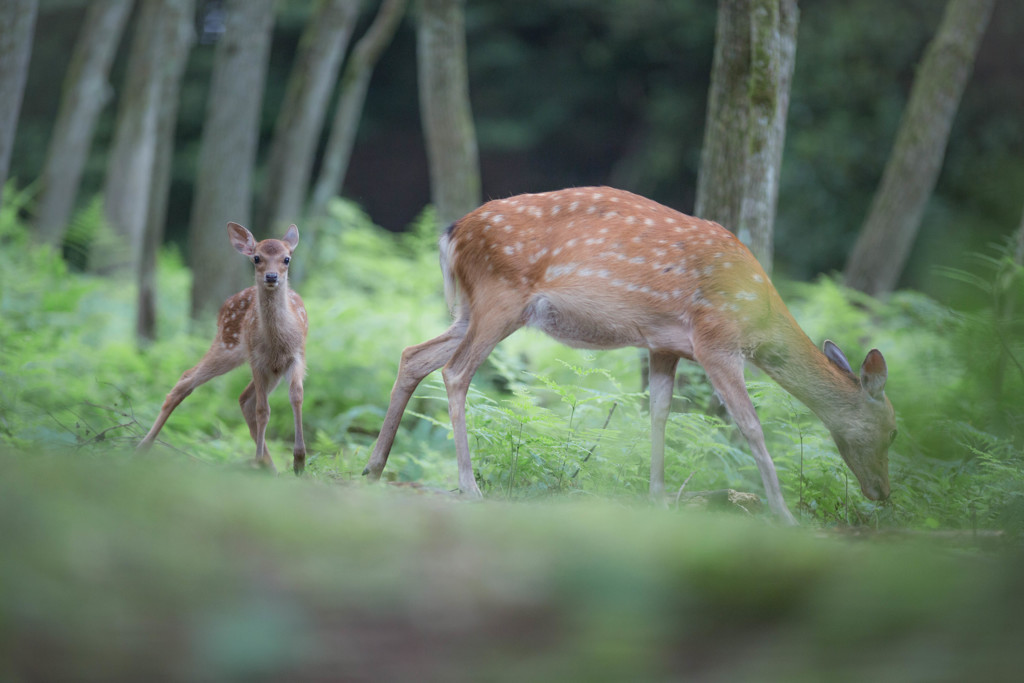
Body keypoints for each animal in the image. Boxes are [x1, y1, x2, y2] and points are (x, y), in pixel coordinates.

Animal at [138, 222, 309, 473]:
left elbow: (296, 396)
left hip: (270, 369)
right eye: (257, 258)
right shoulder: (257, 360)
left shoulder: (296, 357)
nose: (271, 276)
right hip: (227, 344)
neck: (279, 339)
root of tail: (223, 307)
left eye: (286, 258)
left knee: (244, 399)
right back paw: (142, 447)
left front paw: (299, 459)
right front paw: (265, 460)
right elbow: (263, 410)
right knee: (187, 379)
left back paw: (271, 468)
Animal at [364, 187, 892, 524]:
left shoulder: (664, 345)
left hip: (472, 308)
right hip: (500, 297)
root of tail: (452, 232)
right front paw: (783, 514)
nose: (883, 492)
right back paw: (469, 487)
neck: (756, 317)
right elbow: (750, 425)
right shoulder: (715, 340)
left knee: (414, 355)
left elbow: (659, 412)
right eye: (891, 430)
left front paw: (658, 498)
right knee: (455, 373)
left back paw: (373, 467)